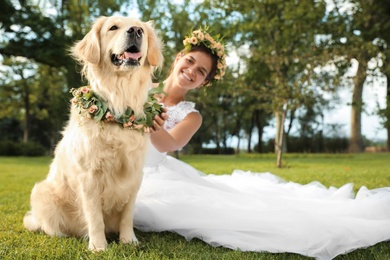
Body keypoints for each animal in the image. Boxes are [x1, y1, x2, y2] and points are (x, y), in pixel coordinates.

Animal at [23, 15, 163, 251]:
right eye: (113, 27)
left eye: (141, 29)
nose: (135, 31)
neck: (118, 106)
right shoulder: (89, 176)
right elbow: (95, 215)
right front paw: (98, 246)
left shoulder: (134, 173)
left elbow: (127, 214)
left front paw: (129, 240)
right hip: (41, 193)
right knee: (48, 226)